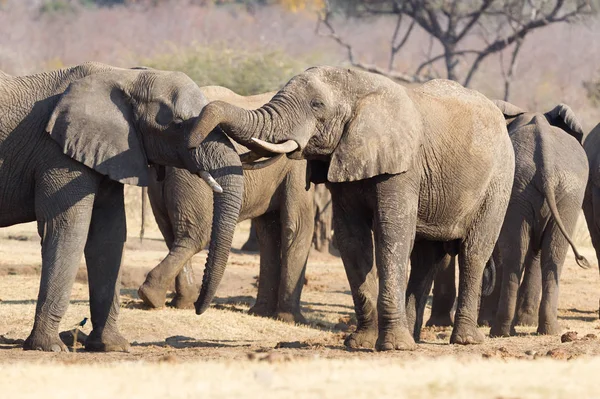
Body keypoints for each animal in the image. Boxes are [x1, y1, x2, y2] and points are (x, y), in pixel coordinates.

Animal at [1, 63, 243, 354]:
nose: (197, 309)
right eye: (178, 124)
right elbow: (68, 229)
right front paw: (50, 347)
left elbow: (109, 236)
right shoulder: (57, 154)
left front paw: (112, 346)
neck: (125, 76)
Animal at [136, 86, 314, 324]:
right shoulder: (297, 166)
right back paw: (157, 298)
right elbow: (297, 226)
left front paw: (261, 313)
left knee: (171, 232)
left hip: (163, 182)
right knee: (195, 235)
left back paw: (175, 302)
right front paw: (291, 320)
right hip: (192, 180)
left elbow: (269, 232)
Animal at [184, 65, 516, 350]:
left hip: (499, 180)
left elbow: (392, 234)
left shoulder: (403, 166)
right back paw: (414, 339)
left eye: (317, 104)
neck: (361, 87)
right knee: (425, 258)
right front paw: (361, 343)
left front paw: (391, 347)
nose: (198, 309)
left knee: (474, 252)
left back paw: (465, 341)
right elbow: (352, 239)